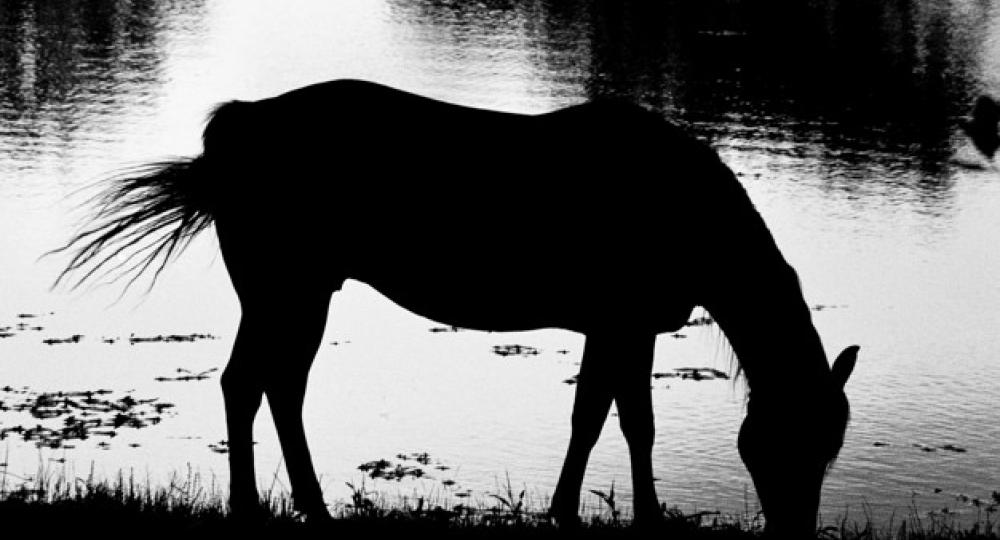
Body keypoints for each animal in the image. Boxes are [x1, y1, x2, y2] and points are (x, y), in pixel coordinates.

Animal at [56, 79, 860, 536]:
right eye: (781, 440)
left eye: (830, 446)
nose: (795, 532)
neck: (686, 212)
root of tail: (235, 129)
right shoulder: (623, 321)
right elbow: (629, 421)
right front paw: (641, 519)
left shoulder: (621, 326)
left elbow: (599, 415)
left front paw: (571, 510)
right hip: (284, 287)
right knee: (249, 385)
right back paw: (258, 510)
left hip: (299, 292)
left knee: (276, 387)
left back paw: (310, 506)